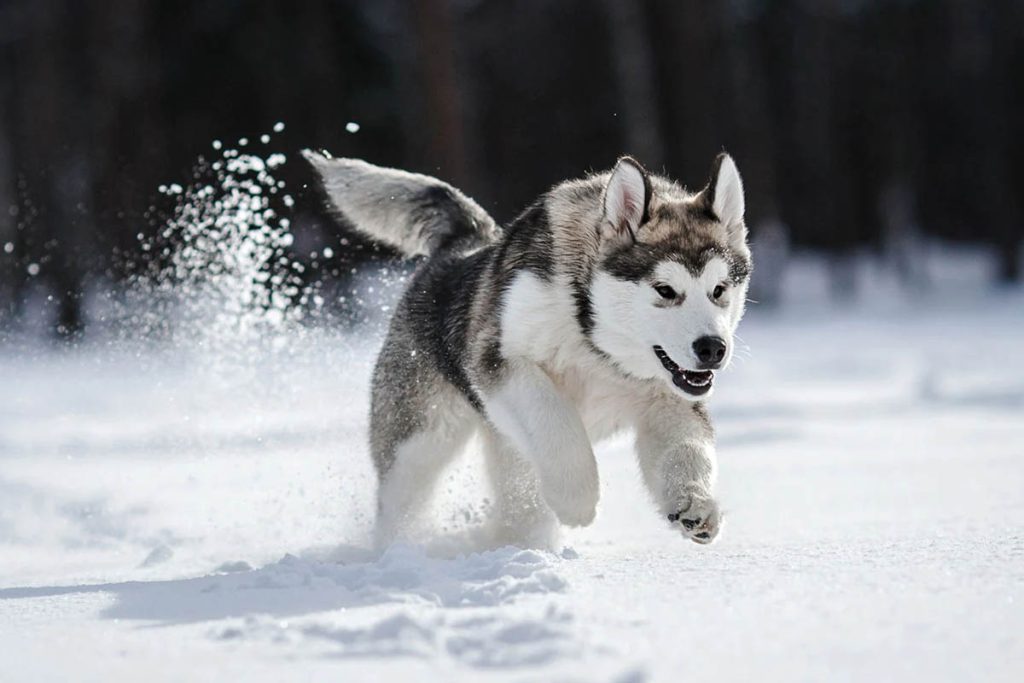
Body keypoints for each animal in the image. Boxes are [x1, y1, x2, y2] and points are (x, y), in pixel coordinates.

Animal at [303, 147, 753, 548]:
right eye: (665, 290)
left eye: (719, 290)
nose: (713, 349)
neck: (594, 339)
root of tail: (462, 245)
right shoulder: (499, 362)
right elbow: (557, 422)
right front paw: (577, 501)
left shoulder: (668, 396)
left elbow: (686, 448)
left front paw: (694, 504)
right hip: (420, 440)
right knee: (403, 500)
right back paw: (399, 554)